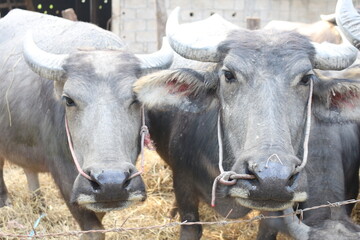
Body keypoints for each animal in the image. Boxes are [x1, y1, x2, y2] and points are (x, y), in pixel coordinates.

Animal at [0, 8, 173, 238]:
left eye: (136, 99)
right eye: (68, 100)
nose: (111, 182)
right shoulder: (64, 174)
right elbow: (93, 228)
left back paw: (39, 205)